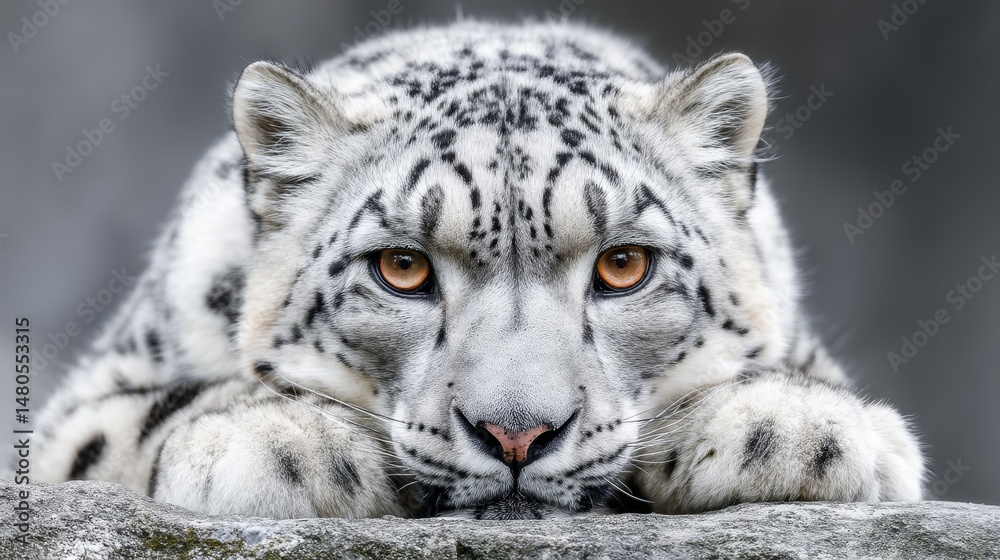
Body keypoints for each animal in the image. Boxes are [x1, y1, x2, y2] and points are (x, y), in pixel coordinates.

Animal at [29, 20, 925, 520]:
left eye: (624, 265)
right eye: (401, 267)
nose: (516, 434)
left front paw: (797, 428)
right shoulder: (74, 413)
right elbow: (130, 419)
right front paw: (281, 443)